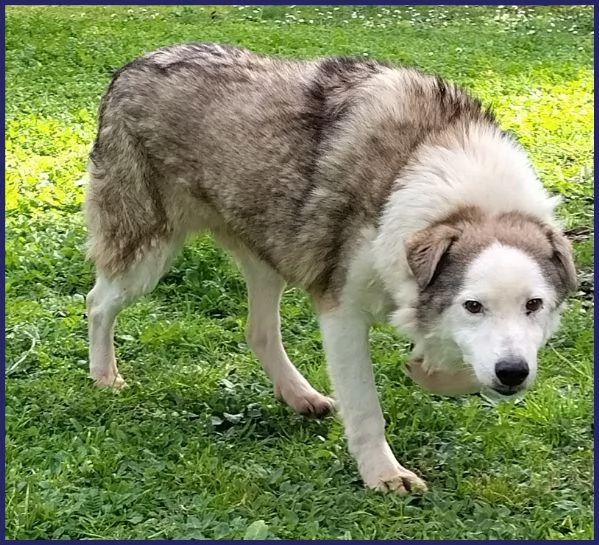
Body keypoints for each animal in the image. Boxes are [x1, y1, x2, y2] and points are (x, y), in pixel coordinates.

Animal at [84, 42, 576, 492]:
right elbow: (366, 407)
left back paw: (300, 395)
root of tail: (135, 64)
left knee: (258, 331)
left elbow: (454, 367)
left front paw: (429, 371)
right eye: (473, 306)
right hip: (146, 254)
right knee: (96, 303)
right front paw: (384, 475)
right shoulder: (341, 311)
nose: (512, 373)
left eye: (534, 305)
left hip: (267, 257)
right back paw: (105, 377)